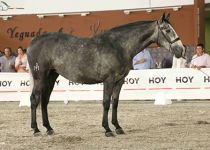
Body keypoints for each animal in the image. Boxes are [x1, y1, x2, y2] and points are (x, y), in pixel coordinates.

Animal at [26, 13, 185, 137]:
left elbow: (115, 103)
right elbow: (106, 103)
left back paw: (49, 128)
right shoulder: (109, 80)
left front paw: (118, 127)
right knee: (34, 99)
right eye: (168, 30)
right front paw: (107, 129)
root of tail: (33, 42)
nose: (181, 50)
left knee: (44, 101)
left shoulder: (120, 81)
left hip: (51, 77)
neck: (119, 46)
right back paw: (36, 130)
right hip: (40, 77)